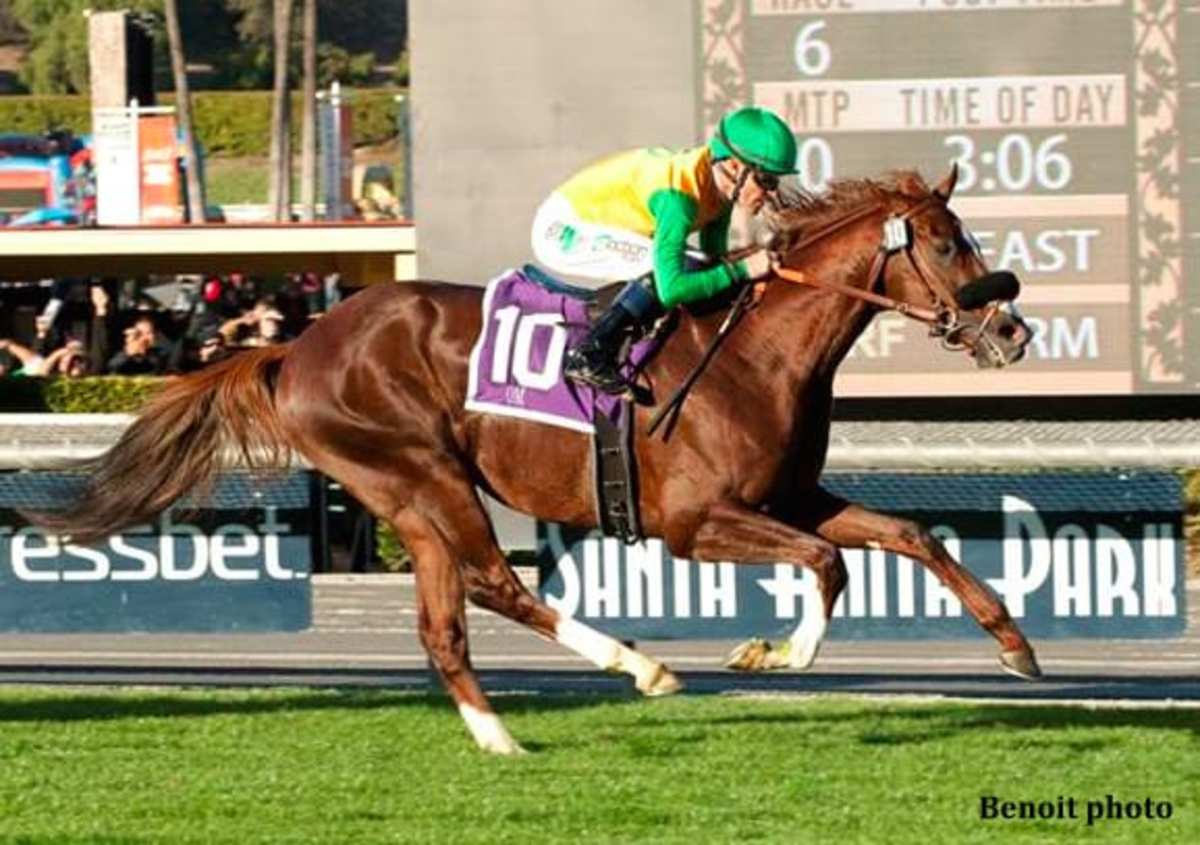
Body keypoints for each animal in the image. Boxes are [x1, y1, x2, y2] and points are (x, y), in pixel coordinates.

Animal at [28, 165, 1039, 755]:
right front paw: (777, 651)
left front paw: (1016, 645)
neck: (754, 350)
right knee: (493, 583)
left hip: (405, 497)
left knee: (447, 618)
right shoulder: (694, 522)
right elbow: (828, 563)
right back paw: (639, 667)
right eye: (944, 242)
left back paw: (500, 736)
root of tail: (300, 345)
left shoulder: (791, 494)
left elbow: (908, 535)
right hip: (420, 470)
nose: (1012, 330)